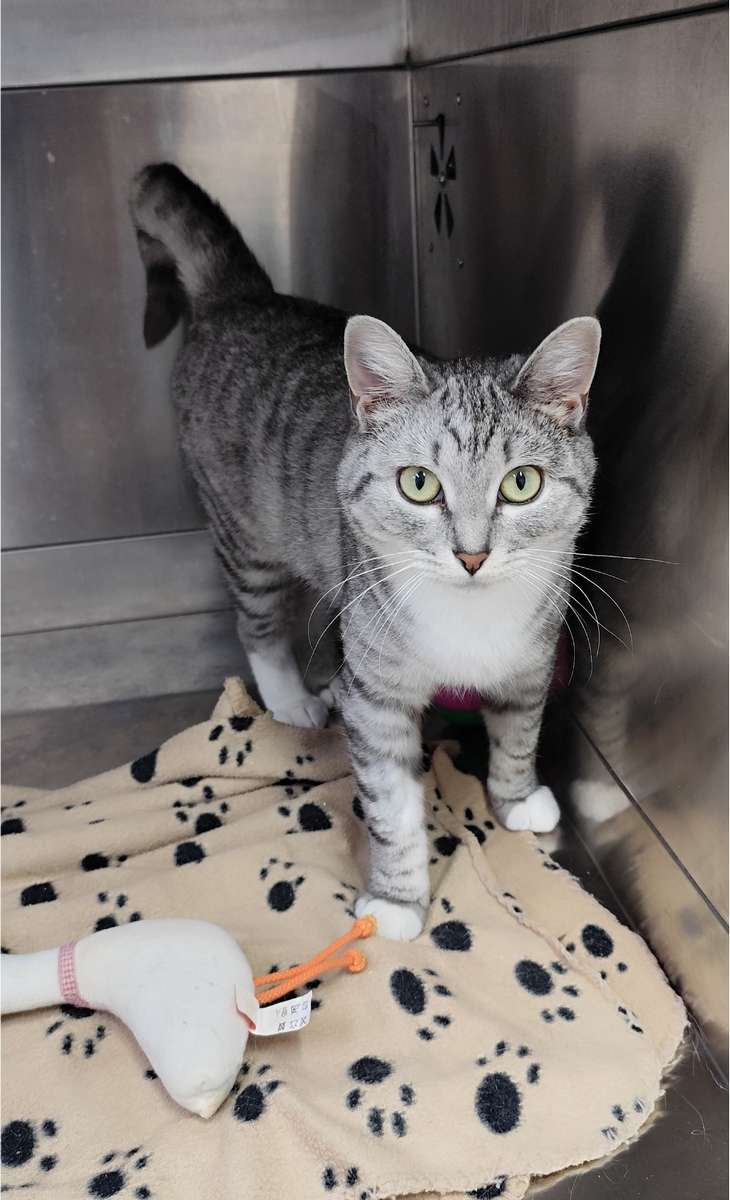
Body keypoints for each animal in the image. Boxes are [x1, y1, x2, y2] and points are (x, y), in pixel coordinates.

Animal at [130, 163, 601, 940]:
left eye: (522, 483)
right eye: (418, 483)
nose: (472, 555)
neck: (470, 619)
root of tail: (244, 296)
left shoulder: (530, 660)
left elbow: (518, 730)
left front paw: (516, 796)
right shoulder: (376, 699)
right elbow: (392, 808)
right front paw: (398, 899)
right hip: (245, 537)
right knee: (257, 621)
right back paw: (292, 695)